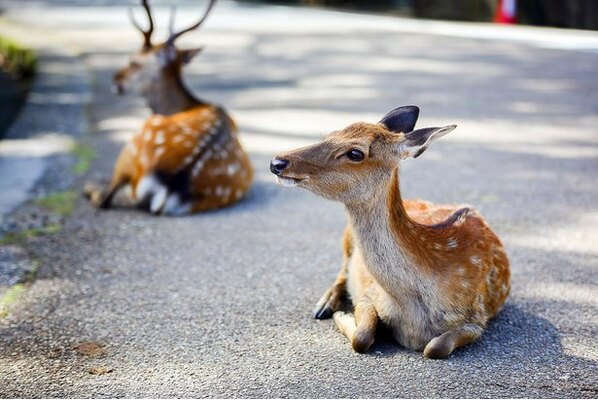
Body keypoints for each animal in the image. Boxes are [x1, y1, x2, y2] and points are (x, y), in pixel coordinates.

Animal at [85, 0, 252, 216]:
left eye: (134, 61)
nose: (116, 80)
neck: (184, 105)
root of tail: (173, 183)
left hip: (134, 143)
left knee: (105, 197)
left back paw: (91, 186)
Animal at [272, 104, 510, 358]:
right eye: (331, 134)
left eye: (355, 153)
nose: (277, 162)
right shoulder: (369, 295)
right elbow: (362, 337)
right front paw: (341, 314)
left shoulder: (476, 318)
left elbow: (435, 347)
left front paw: (341, 314)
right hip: (346, 237)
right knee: (343, 268)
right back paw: (324, 305)